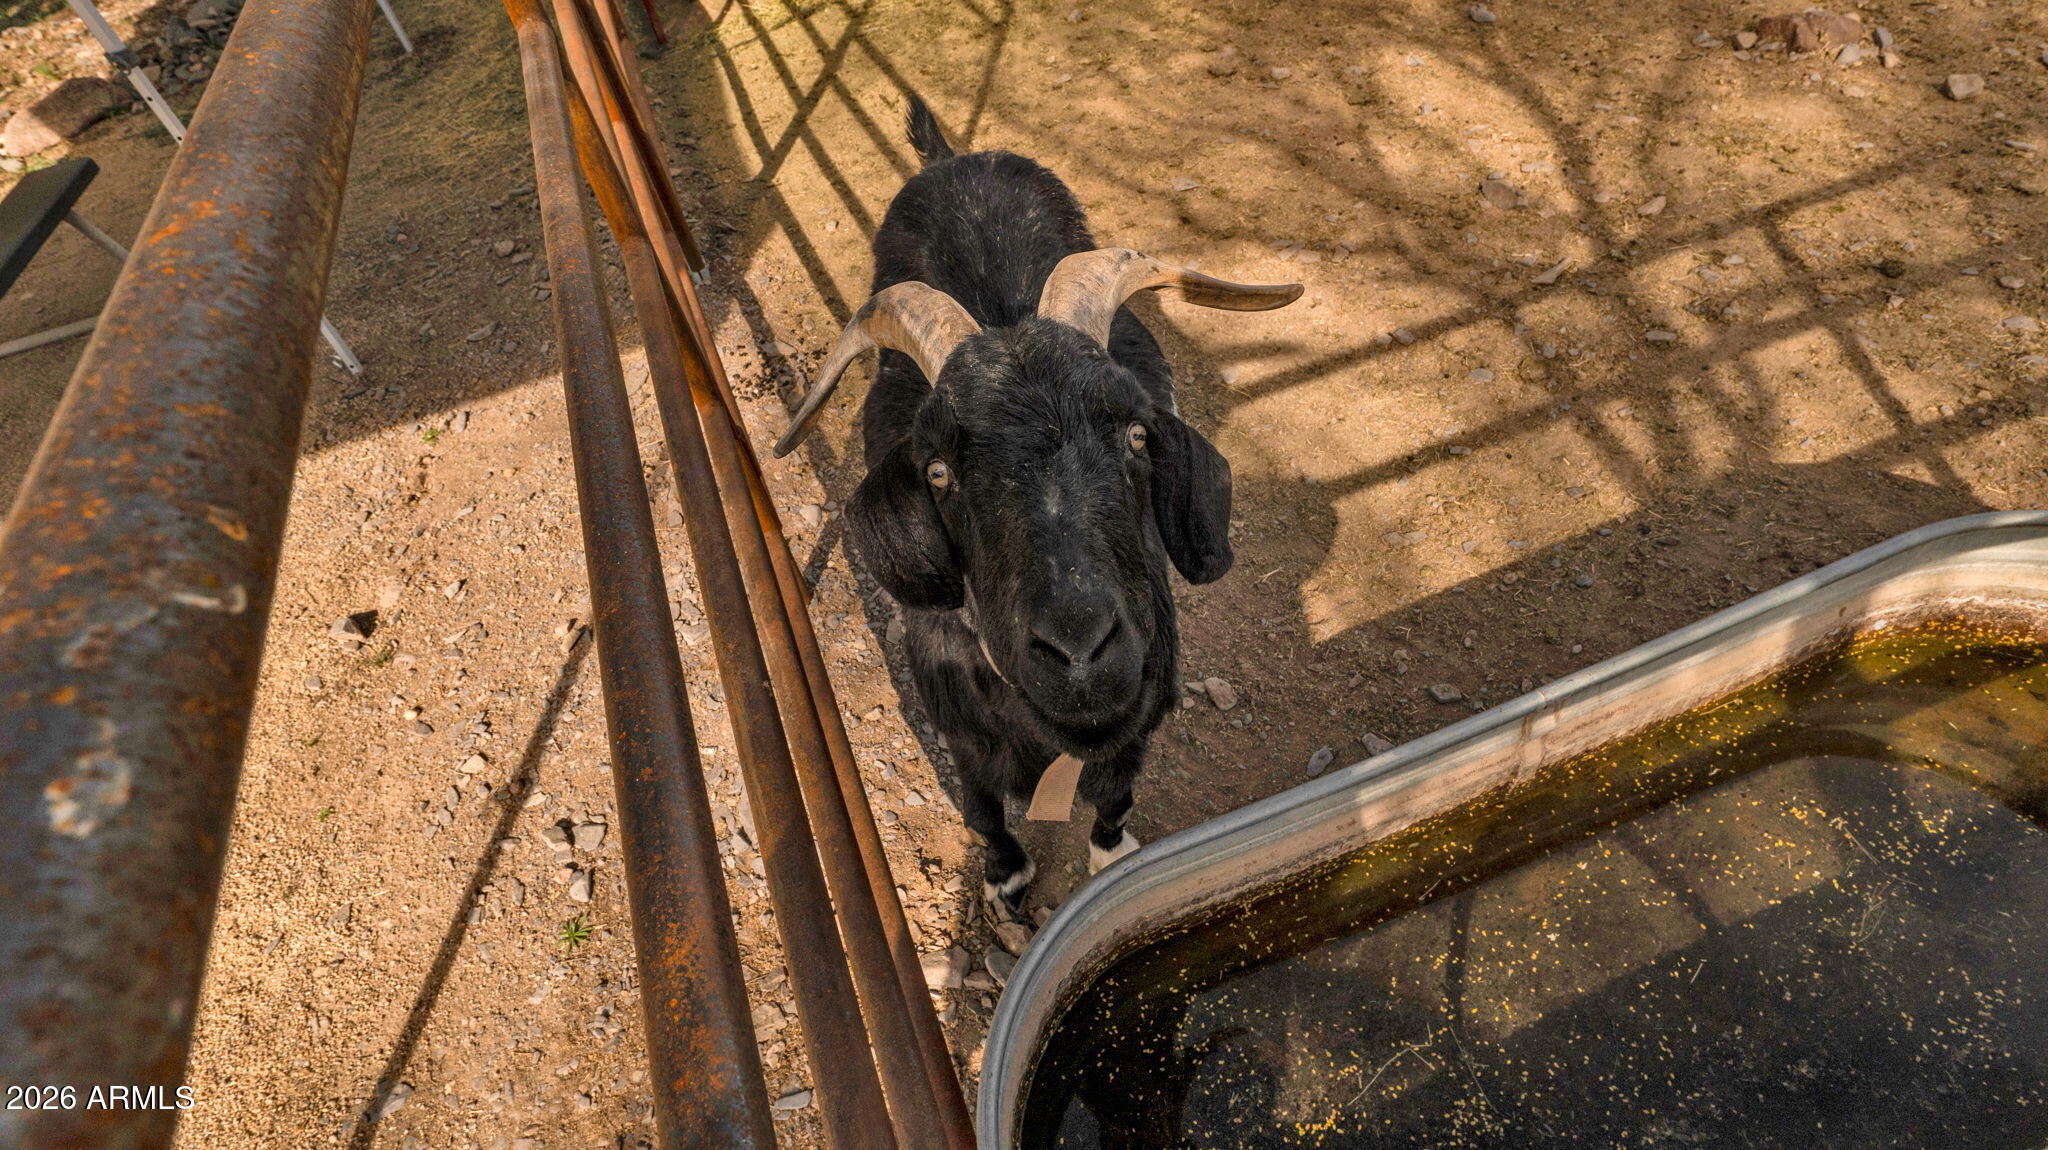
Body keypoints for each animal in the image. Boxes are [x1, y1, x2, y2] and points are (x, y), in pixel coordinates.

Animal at [774, 96, 1301, 913]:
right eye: (937, 471)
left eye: (1138, 434)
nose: (1080, 652)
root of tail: (953, 159)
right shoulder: (955, 729)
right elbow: (982, 810)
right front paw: (1006, 880)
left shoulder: (1138, 718)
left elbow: (1117, 798)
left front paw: (1114, 859)